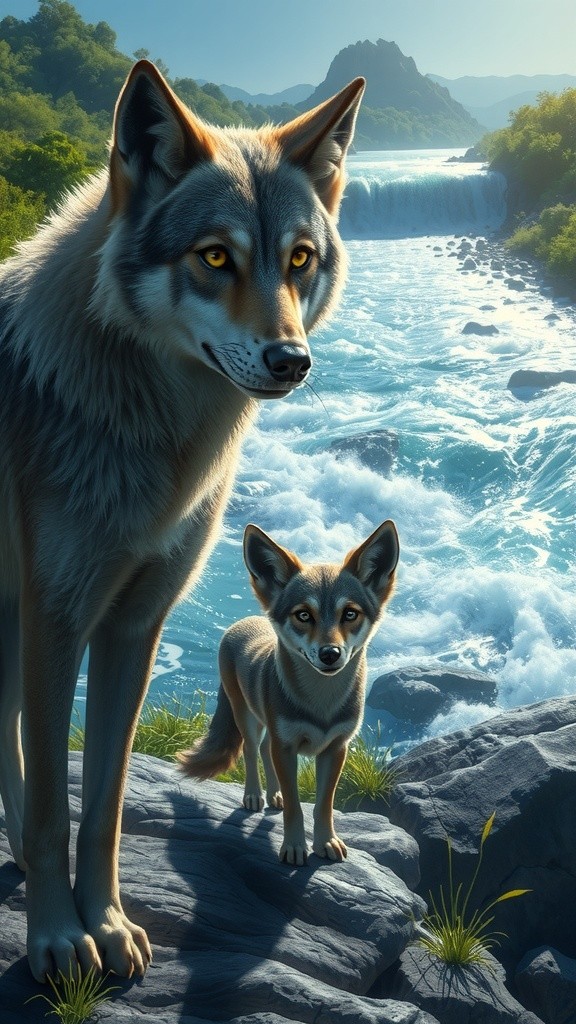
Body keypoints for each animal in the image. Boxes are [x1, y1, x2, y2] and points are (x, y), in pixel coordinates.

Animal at [0, 60, 364, 981]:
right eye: (215, 258)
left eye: (299, 258)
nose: (292, 360)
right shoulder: (59, 620)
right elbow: (57, 801)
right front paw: (57, 937)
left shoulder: (133, 626)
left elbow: (102, 805)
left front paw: (108, 924)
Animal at [180, 520, 399, 865]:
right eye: (303, 614)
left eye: (350, 614)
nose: (330, 654)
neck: (321, 706)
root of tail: (244, 622)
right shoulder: (286, 747)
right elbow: (296, 807)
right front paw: (294, 847)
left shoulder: (335, 748)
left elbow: (323, 805)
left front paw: (326, 842)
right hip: (248, 719)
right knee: (251, 751)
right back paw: (254, 796)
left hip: (270, 729)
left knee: (264, 752)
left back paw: (273, 796)